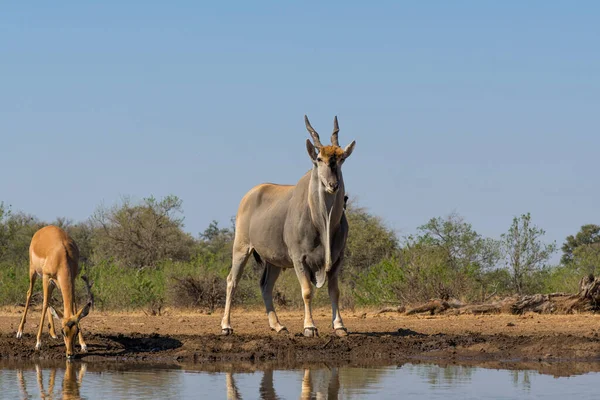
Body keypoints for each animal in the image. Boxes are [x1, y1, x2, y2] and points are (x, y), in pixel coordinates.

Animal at [224, 115, 356, 338]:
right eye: (319, 159)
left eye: (341, 159)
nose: (333, 185)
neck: (322, 223)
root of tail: (251, 194)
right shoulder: (298, 258)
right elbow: (307, 291)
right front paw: (309, 327)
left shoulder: (337, 259)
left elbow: (335, 291)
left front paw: (339, 326)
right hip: (241, 247)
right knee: (232, 281)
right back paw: (226, 326)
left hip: (274, 261)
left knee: (265, 286)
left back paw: (277, 325)